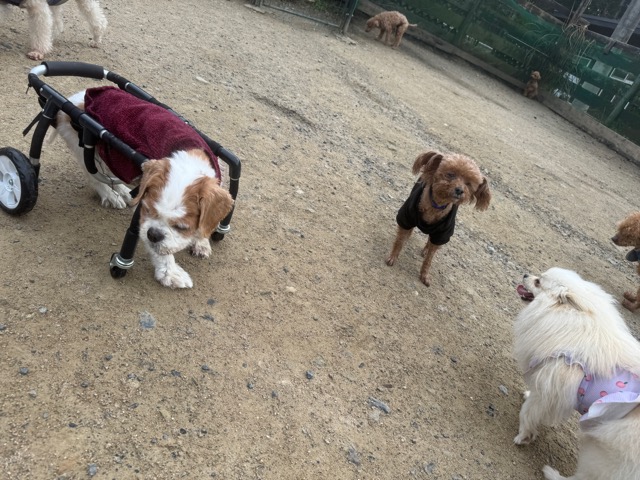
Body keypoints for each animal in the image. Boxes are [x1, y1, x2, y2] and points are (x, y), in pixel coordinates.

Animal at [54, 87, 234, 289]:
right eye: (147, 211)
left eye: (181, 227)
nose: (153, 234)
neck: (189, 159)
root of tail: (76, 99)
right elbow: (160, 250)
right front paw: (170, 273)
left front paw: (201, 241)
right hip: (85, 147)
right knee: (94, 177)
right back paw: (110, 194)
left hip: (111, 157)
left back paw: (123, 191)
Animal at [386, 151, 491, 286]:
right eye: (450, 175)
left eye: (468, 183)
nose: (460, 190)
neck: (436, 205)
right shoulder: (406, 218)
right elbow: (399, 241)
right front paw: (392, 257)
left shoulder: (442, 234)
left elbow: (429, 259)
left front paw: (424, 275)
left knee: (430, 242)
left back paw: (425, 249)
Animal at [514, 267, 640, 480]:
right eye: (539, 275)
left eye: (538, 282)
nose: (525, 274)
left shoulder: (548, 391)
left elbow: (528, 412)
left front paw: (523, 436)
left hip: (601, 451)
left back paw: (552, 473)